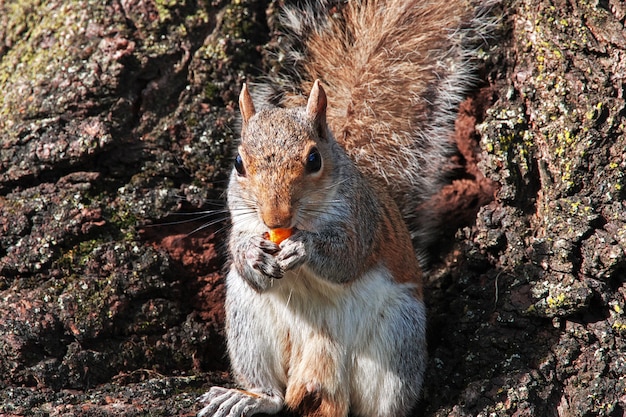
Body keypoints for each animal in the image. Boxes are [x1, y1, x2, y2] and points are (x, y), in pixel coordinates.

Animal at [197, 0, 490, 416]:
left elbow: (346, 259)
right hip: (247, 322)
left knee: (385, 403)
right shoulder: (243, 222)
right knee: (272, 391)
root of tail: (319, 372)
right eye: (238, 163)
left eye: (314, 160)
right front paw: (253, 253)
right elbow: (243, 257)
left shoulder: (362, 220)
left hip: (397, 338)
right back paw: (249, 397)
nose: (275, 218)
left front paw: (304, 247)